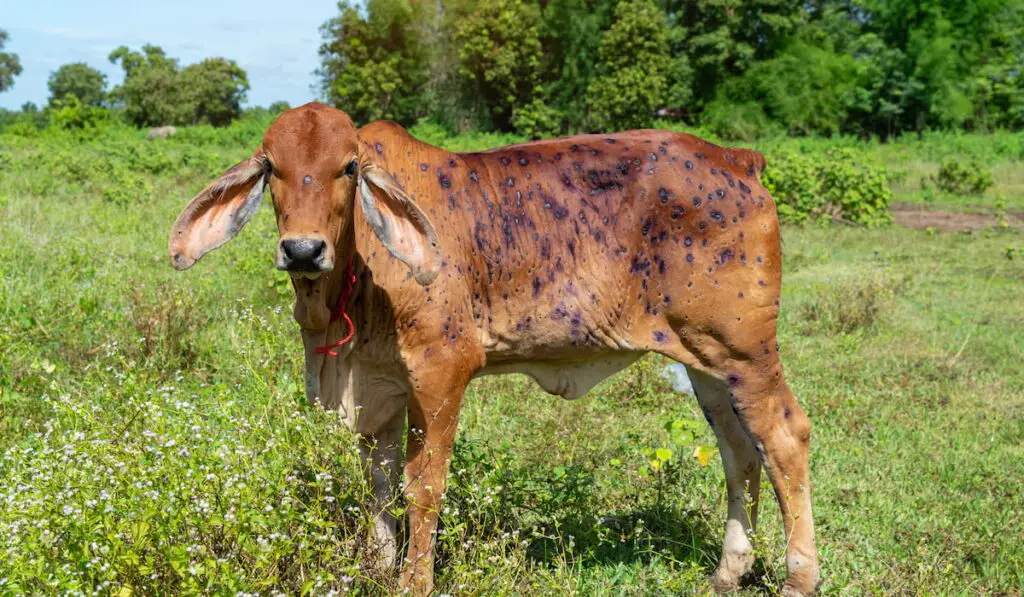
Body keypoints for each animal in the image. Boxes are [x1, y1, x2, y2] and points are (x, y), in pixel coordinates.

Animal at [169, 103, 823, 597]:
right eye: (272, 168)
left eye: (348, 167)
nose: (303, 250)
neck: (346, 289)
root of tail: (739, 159)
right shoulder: (375, 385)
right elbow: (377, 484)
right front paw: (377, 570)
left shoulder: (442, 369)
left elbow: (422, 486)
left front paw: (414, 582)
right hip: (706, 360)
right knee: (738, 449)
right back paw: (729, 572)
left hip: (747, 350)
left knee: (784, 435)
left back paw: (799, 578)